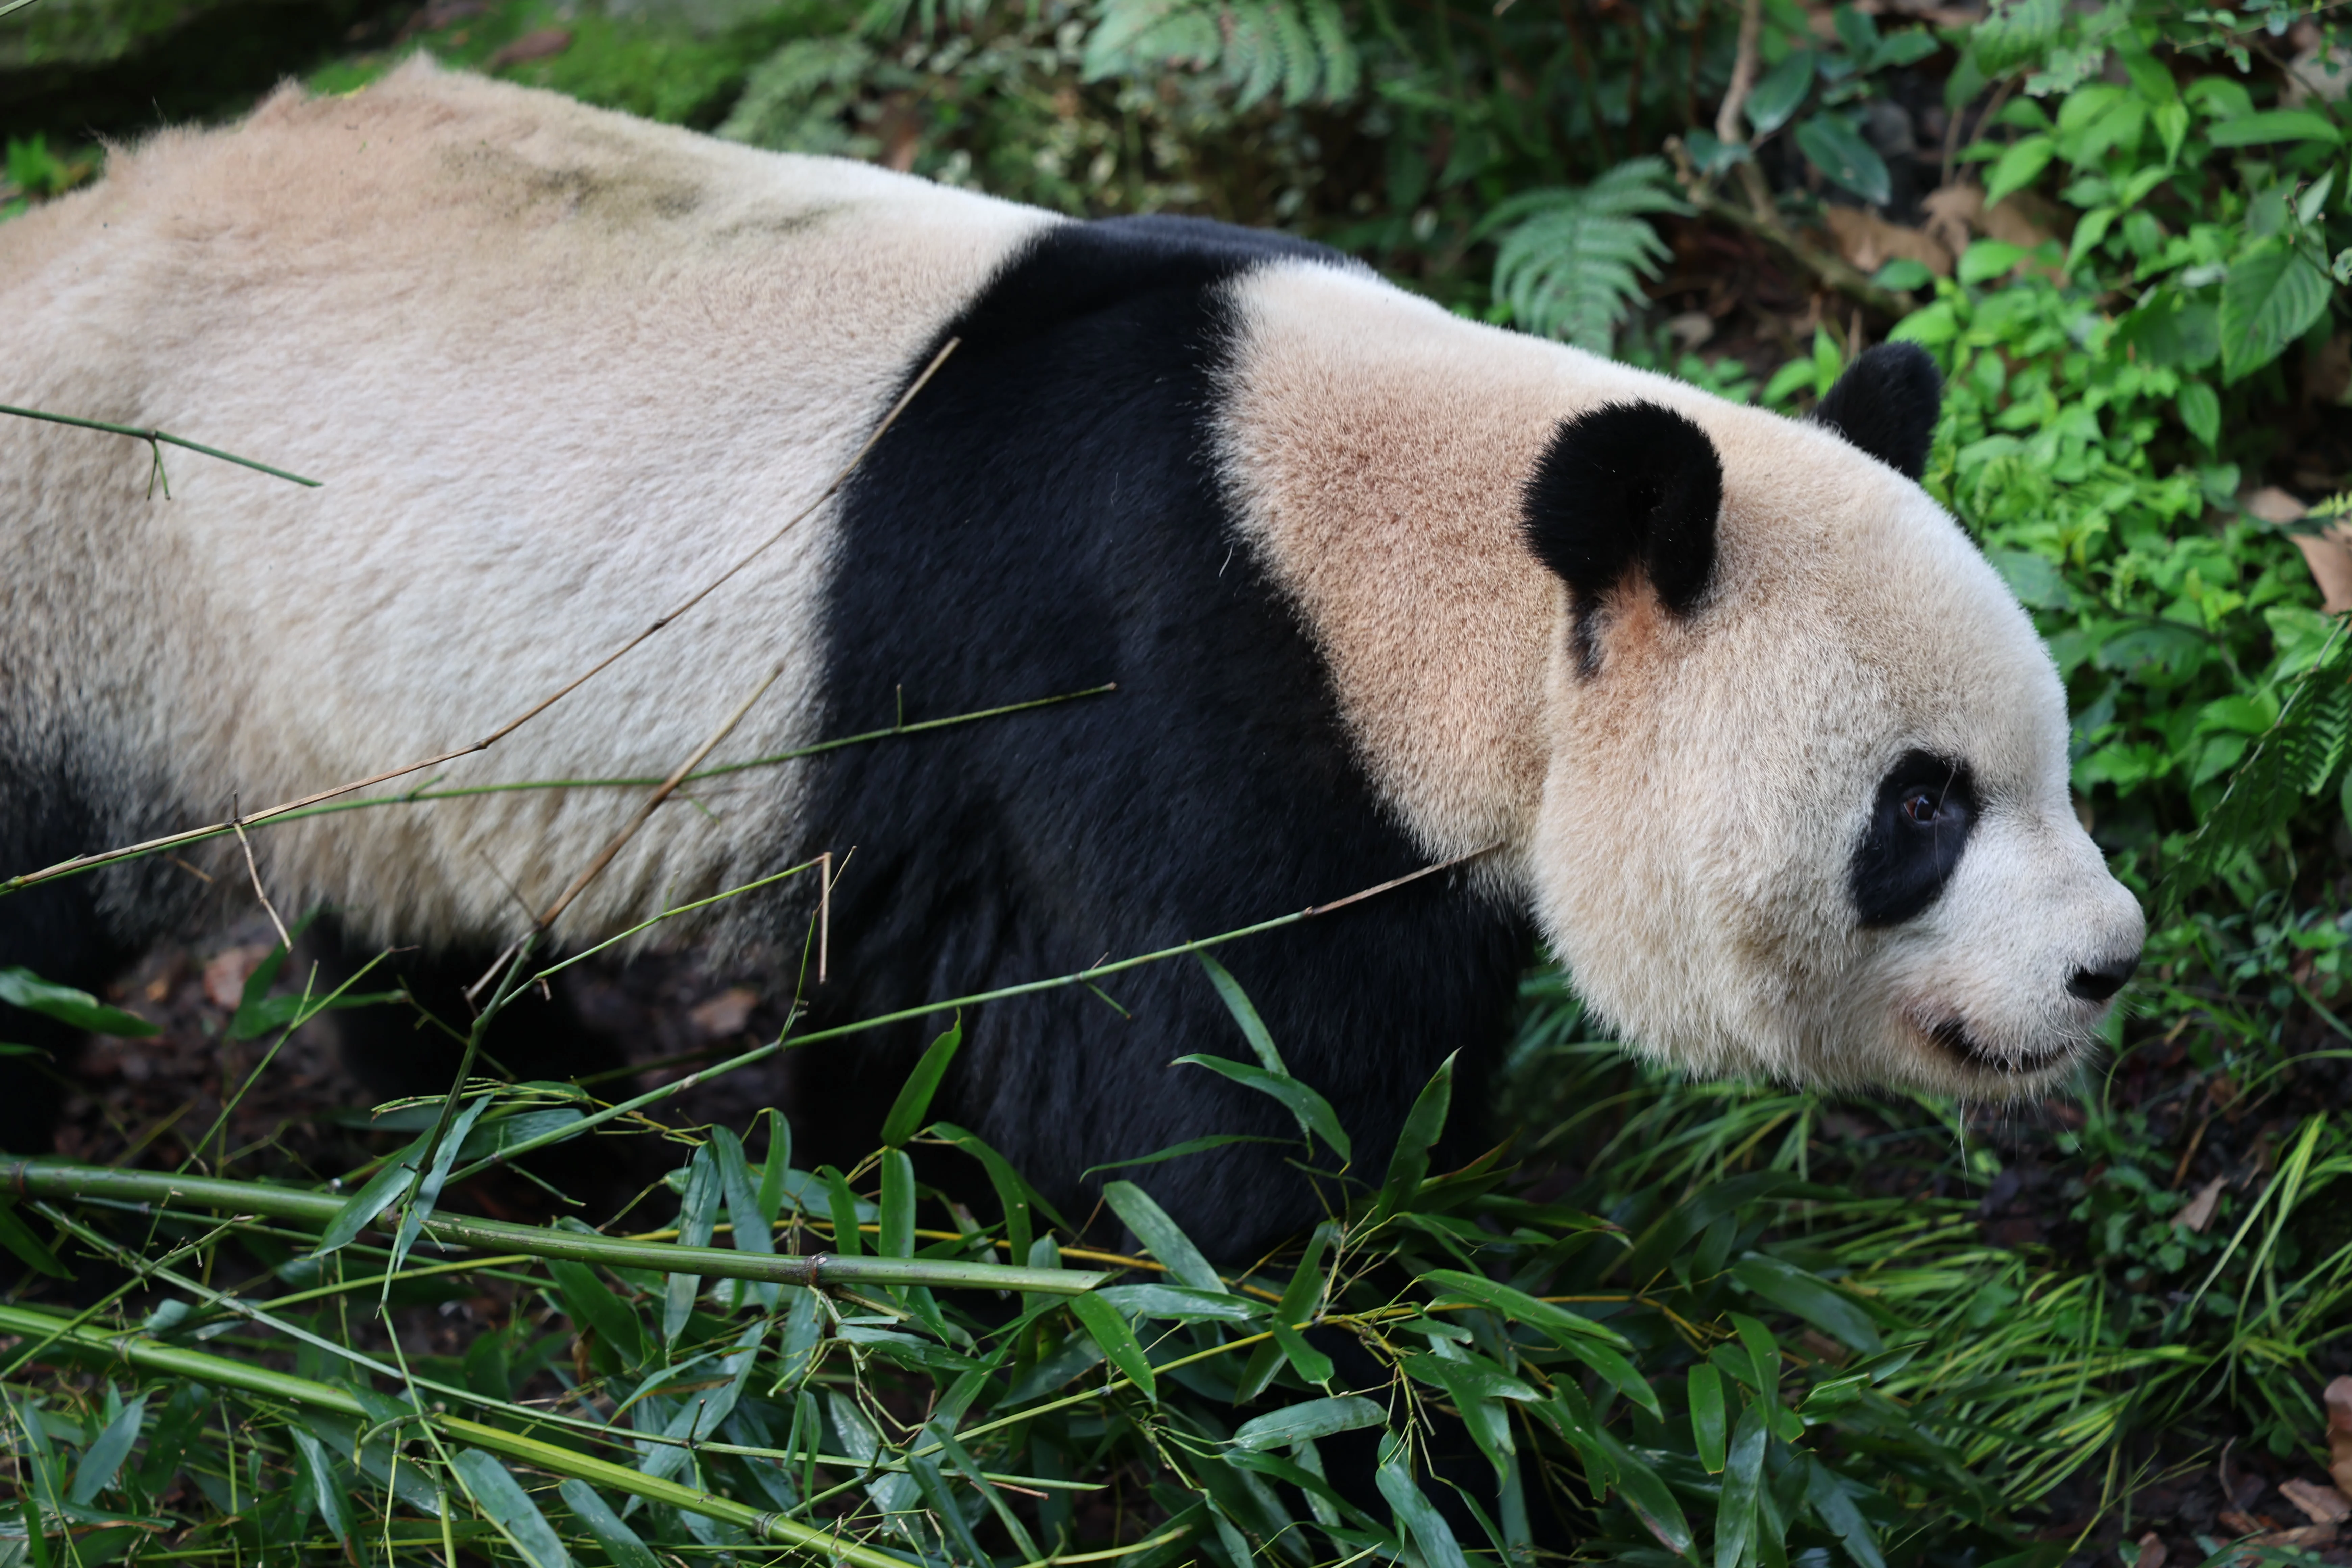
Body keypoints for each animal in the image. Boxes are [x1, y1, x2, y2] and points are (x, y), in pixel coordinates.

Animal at [0, 61, 2143, 1258]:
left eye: (2041, 763)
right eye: (1919, 808)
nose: (2107, 964)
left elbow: (933, 1032)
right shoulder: (1154, 676)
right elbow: (1191, 1117)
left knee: (409, 917)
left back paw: (532, 1148)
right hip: (90, 561)